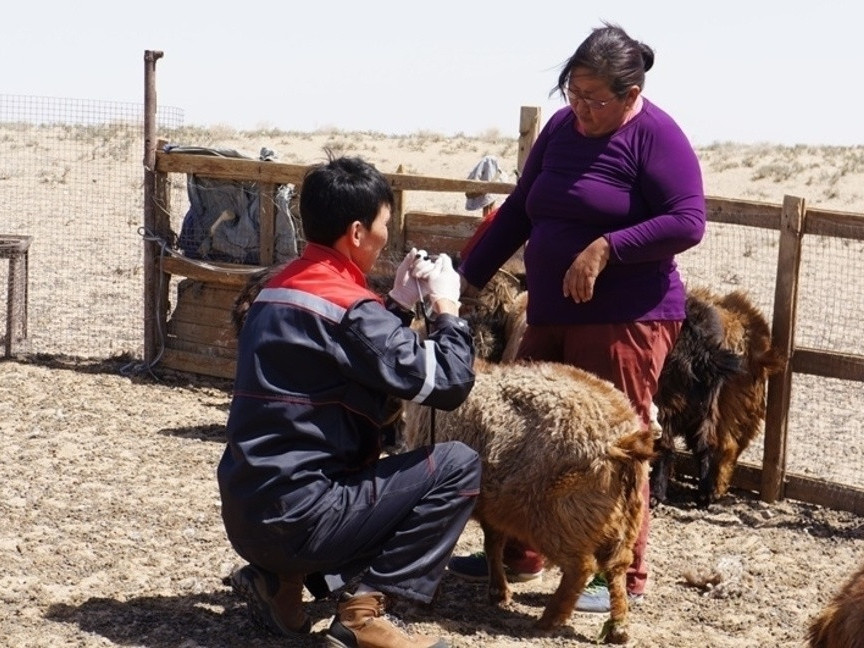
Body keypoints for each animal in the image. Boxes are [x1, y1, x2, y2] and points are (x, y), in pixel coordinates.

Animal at [402, 360, 652, 644]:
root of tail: (624, 442)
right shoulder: (492, 504)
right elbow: (492, 544)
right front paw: (498, 592)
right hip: (627, 518)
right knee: (618, 566)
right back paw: (618, 628)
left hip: (561, 516)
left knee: (581, 567)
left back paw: (549, 620)